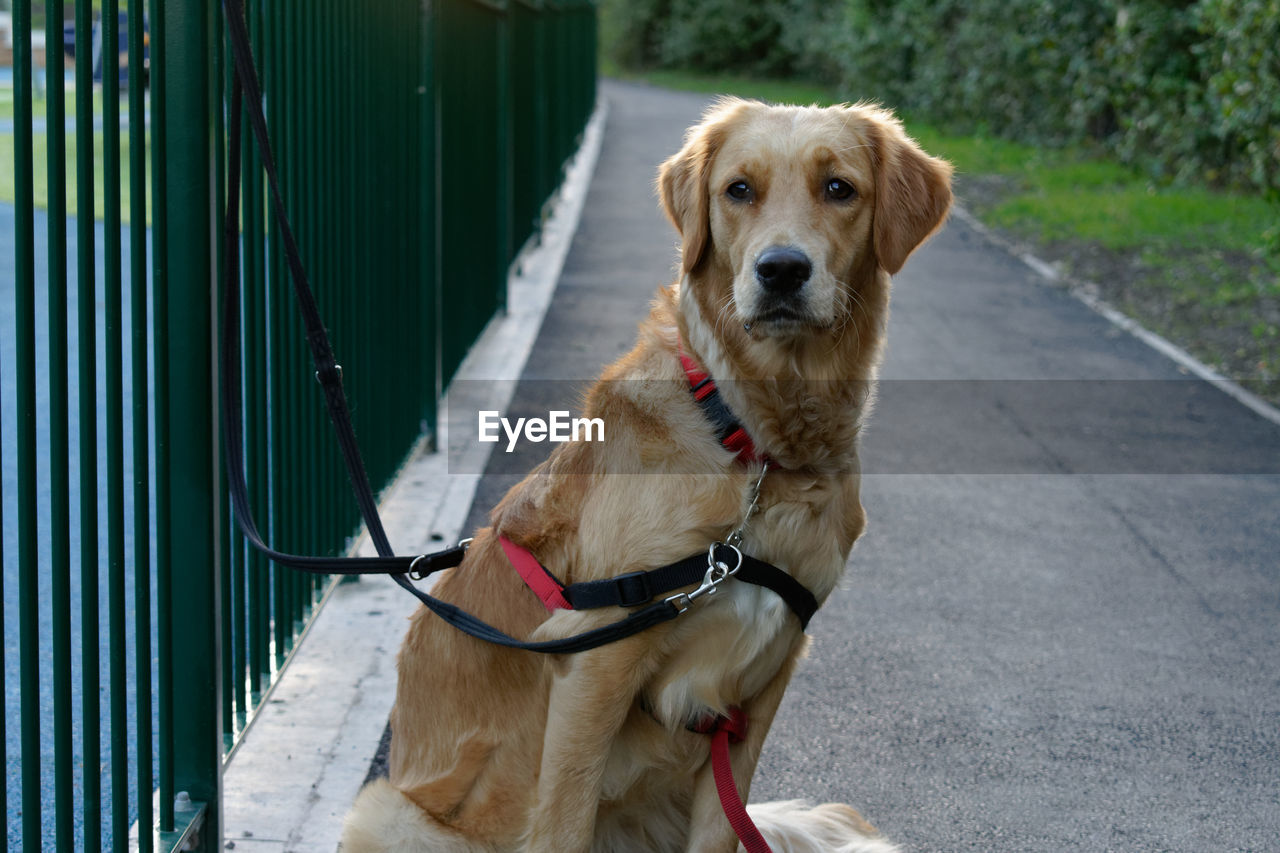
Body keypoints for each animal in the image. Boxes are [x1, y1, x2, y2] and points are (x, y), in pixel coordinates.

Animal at [340, 96, 952, 845]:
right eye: (738, 190)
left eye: (839, 187)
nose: (781, 269)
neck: (753, 442)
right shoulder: (595, 659)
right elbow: (563, 824)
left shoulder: (764, 681)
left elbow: (721, 831)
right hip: (387, 810)